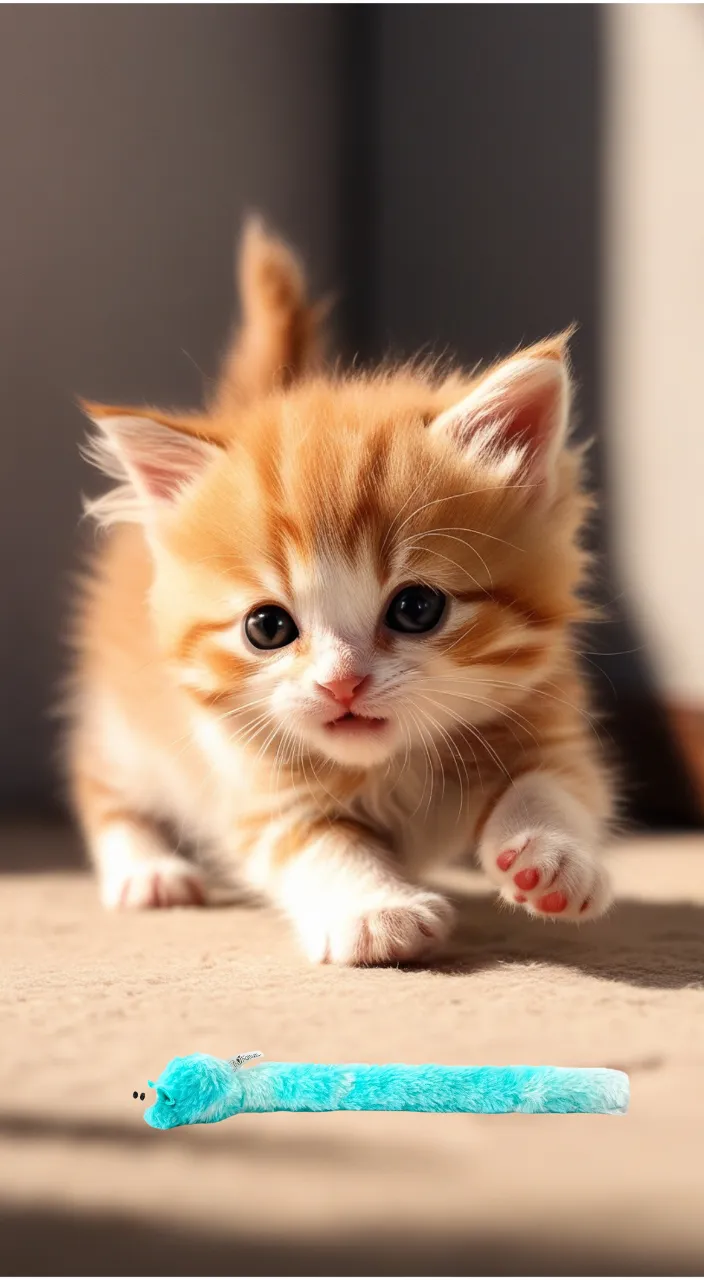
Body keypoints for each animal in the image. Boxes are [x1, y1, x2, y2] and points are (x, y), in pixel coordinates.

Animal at [67, 217, 619, 962]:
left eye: (417, 608)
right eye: (267, 627)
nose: (342, 684)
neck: (390, 769)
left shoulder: (545, 715)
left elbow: (555, 784)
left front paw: (554, 856)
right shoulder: (257, 785)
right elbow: (320, 845)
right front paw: (375, 909)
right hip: (129, 729)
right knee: (100, 778)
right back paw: (147, 868)